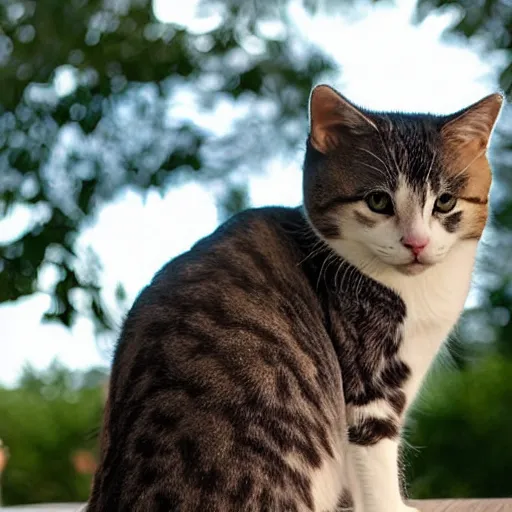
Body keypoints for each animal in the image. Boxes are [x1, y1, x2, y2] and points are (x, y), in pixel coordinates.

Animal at [87, 85, 500, 512]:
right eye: (378, 201)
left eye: (445, 202)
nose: (416, 243)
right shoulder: (366, 379)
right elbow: (375, 455)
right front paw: (393, 505)